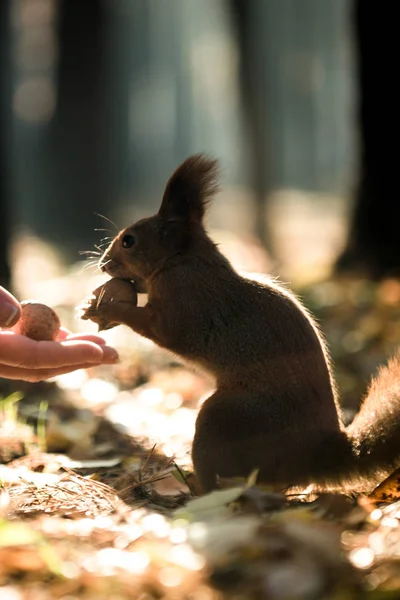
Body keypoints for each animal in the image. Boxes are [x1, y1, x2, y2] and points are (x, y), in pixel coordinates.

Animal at [81, 155, 400, 492]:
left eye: (129, 241)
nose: (102, 264)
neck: (183, 260)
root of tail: (315, 458)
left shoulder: (185, 304)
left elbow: (157, 327)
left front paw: (109, 308)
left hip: (228, 418)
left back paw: (196, 488)